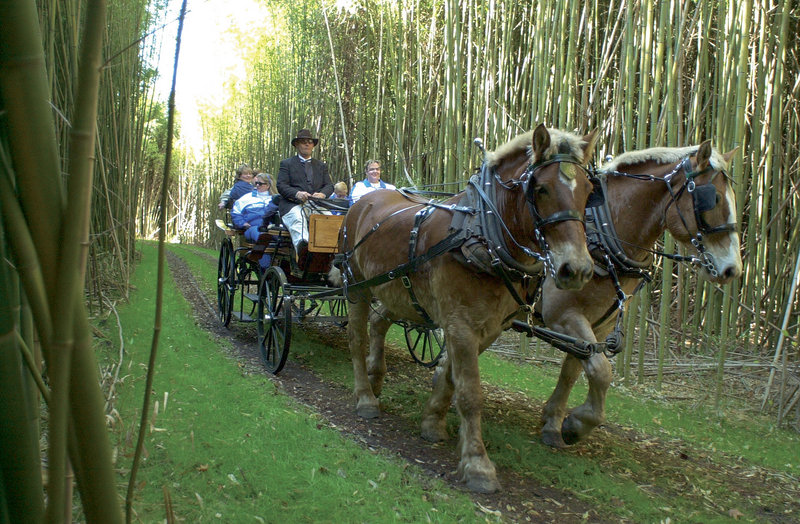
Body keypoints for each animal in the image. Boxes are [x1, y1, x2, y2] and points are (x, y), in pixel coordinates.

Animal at [332, 125, 600, 494]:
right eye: (541, 189)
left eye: (588, 191)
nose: (577, 270)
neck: (484, 236)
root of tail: (363, 201)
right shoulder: (460, 323)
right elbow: (471, 392)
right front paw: (477, 464)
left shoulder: (489, 327)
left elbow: (450, 375)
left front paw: (432, 422)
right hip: (357, 284)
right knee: (356, 338)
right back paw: (364, 397)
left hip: (397, 291)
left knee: (378, 322)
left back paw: (375, 380)